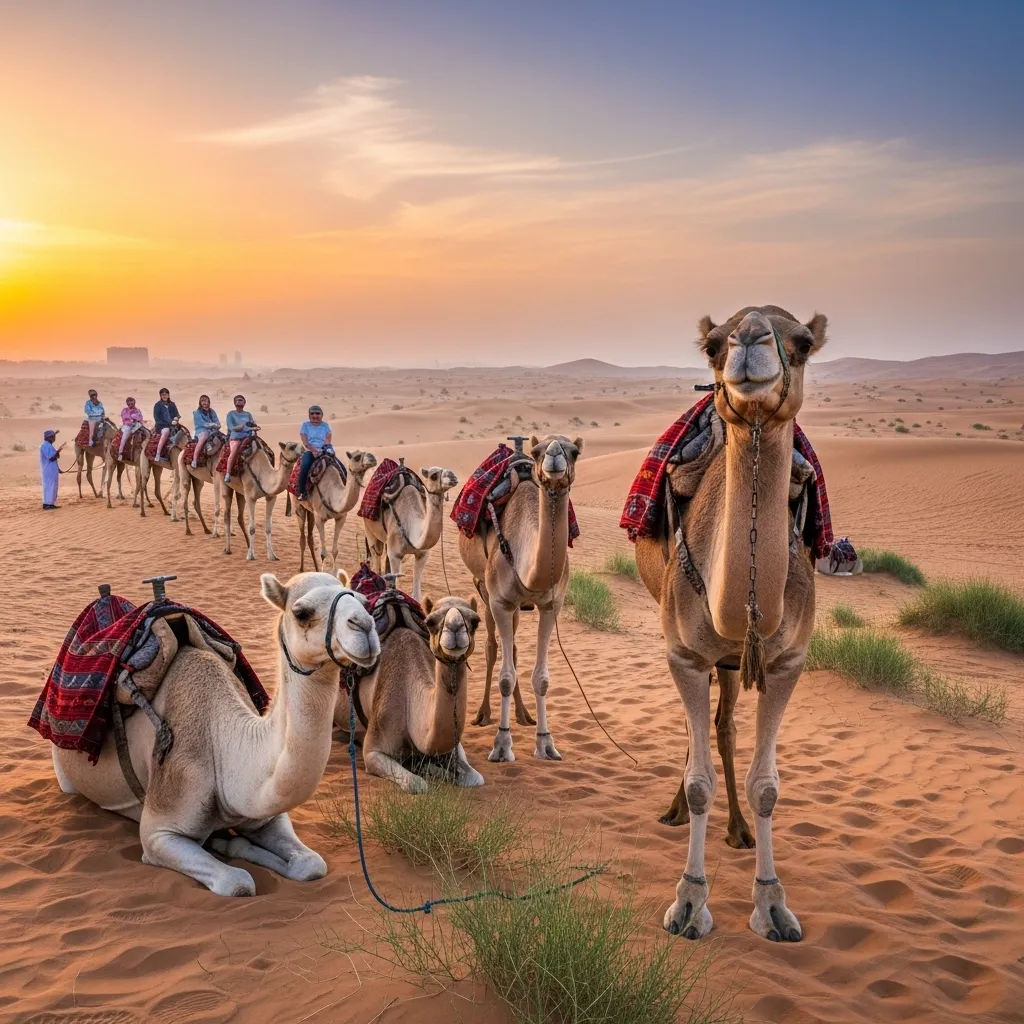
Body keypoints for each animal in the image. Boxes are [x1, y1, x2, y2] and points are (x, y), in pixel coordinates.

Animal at [50, 570, 380, 896]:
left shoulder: (267, 814)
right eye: (301, 613)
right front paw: (225, 845)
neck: (225, 745)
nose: (364, 626)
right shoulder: (159, 832)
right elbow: (237, 883)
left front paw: (230, 842)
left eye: (363, 600)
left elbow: (311, 864)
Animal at [342, 595, 484, 793]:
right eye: (430, 622)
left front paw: (435, 768)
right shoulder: (372, 751)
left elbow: (475, 778)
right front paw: (424, 768)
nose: (455, 628)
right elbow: (417, 784)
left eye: (476, 621)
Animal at [363, 466, 459, 601]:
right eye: (434, 475)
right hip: (368, 528)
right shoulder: (395, 555)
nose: (453, 477)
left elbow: (416, 595)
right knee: (376, 556)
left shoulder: (422, 555)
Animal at [458, 435, 583, 763]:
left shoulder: (552, 606)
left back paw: (524, 715)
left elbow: (541, 677)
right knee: (492, 647)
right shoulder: (500, 601)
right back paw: (483, 715)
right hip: (484, 588)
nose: (553, 457)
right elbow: (505, 676)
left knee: (512, 648)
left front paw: (546, 743)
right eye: (538, 451)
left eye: (575, 451)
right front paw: (502, 746)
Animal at [634, 305, 827, 943]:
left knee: (723, 729)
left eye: (804, 342)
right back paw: (675, 812)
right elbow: (700, 783)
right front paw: (690, 901)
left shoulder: (786, 662)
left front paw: (772, 905)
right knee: (700, 735)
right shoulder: (685, 655)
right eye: (713, 346)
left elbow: (766, 787)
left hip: (734, 663)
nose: (748, 340)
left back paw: (739, 831)